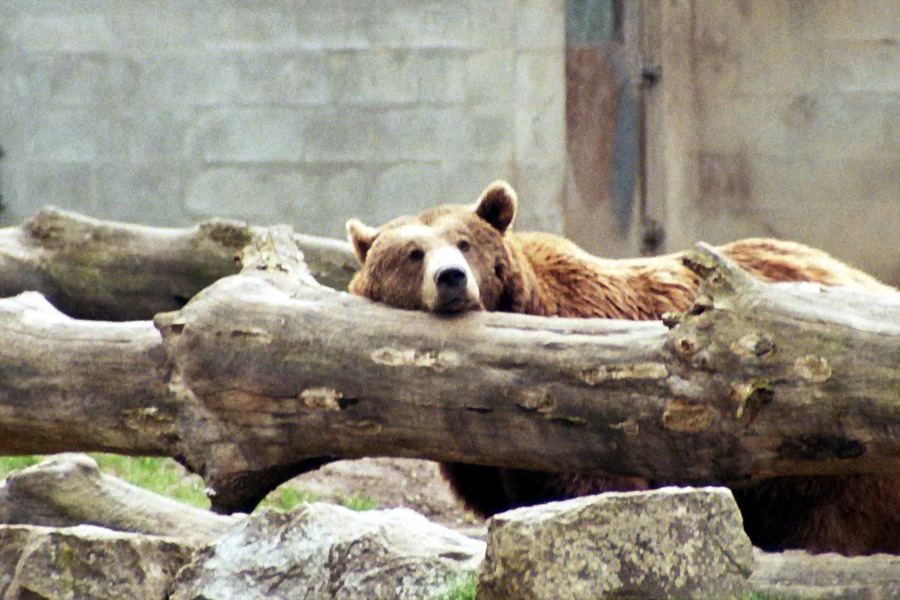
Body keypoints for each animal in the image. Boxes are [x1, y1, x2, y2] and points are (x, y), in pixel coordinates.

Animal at [344, 180, 900, 556]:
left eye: (465, 243)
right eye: (412, 253)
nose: (453, 279)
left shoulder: (582, 414)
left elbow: (593, 487)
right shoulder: (484, 457)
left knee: (830, 519)